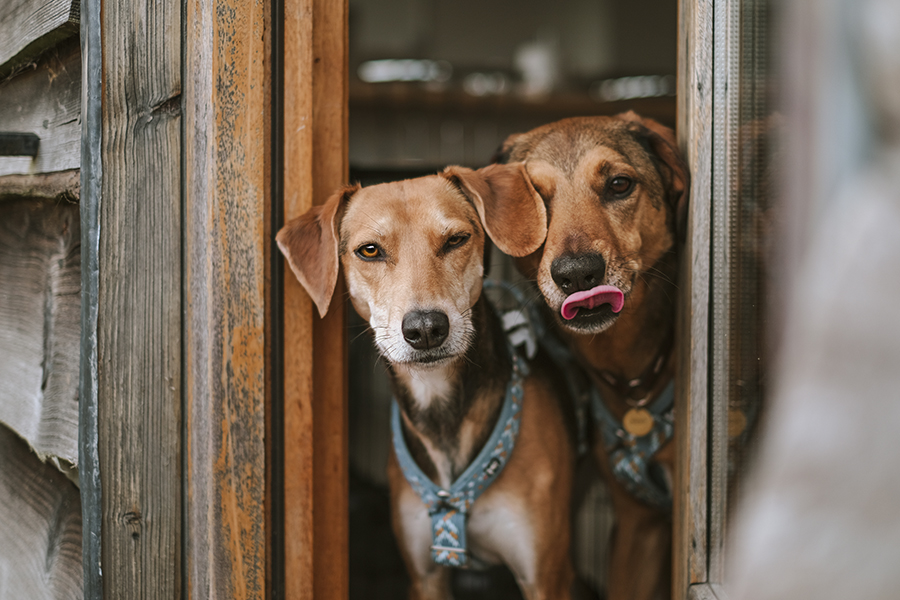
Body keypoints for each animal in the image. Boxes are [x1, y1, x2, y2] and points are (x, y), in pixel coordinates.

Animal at [274, 166, 580, 600]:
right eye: (370, 251)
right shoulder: (425, 575)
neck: (439, 403)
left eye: (456, 240)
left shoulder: (546, 577)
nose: (425, 329)